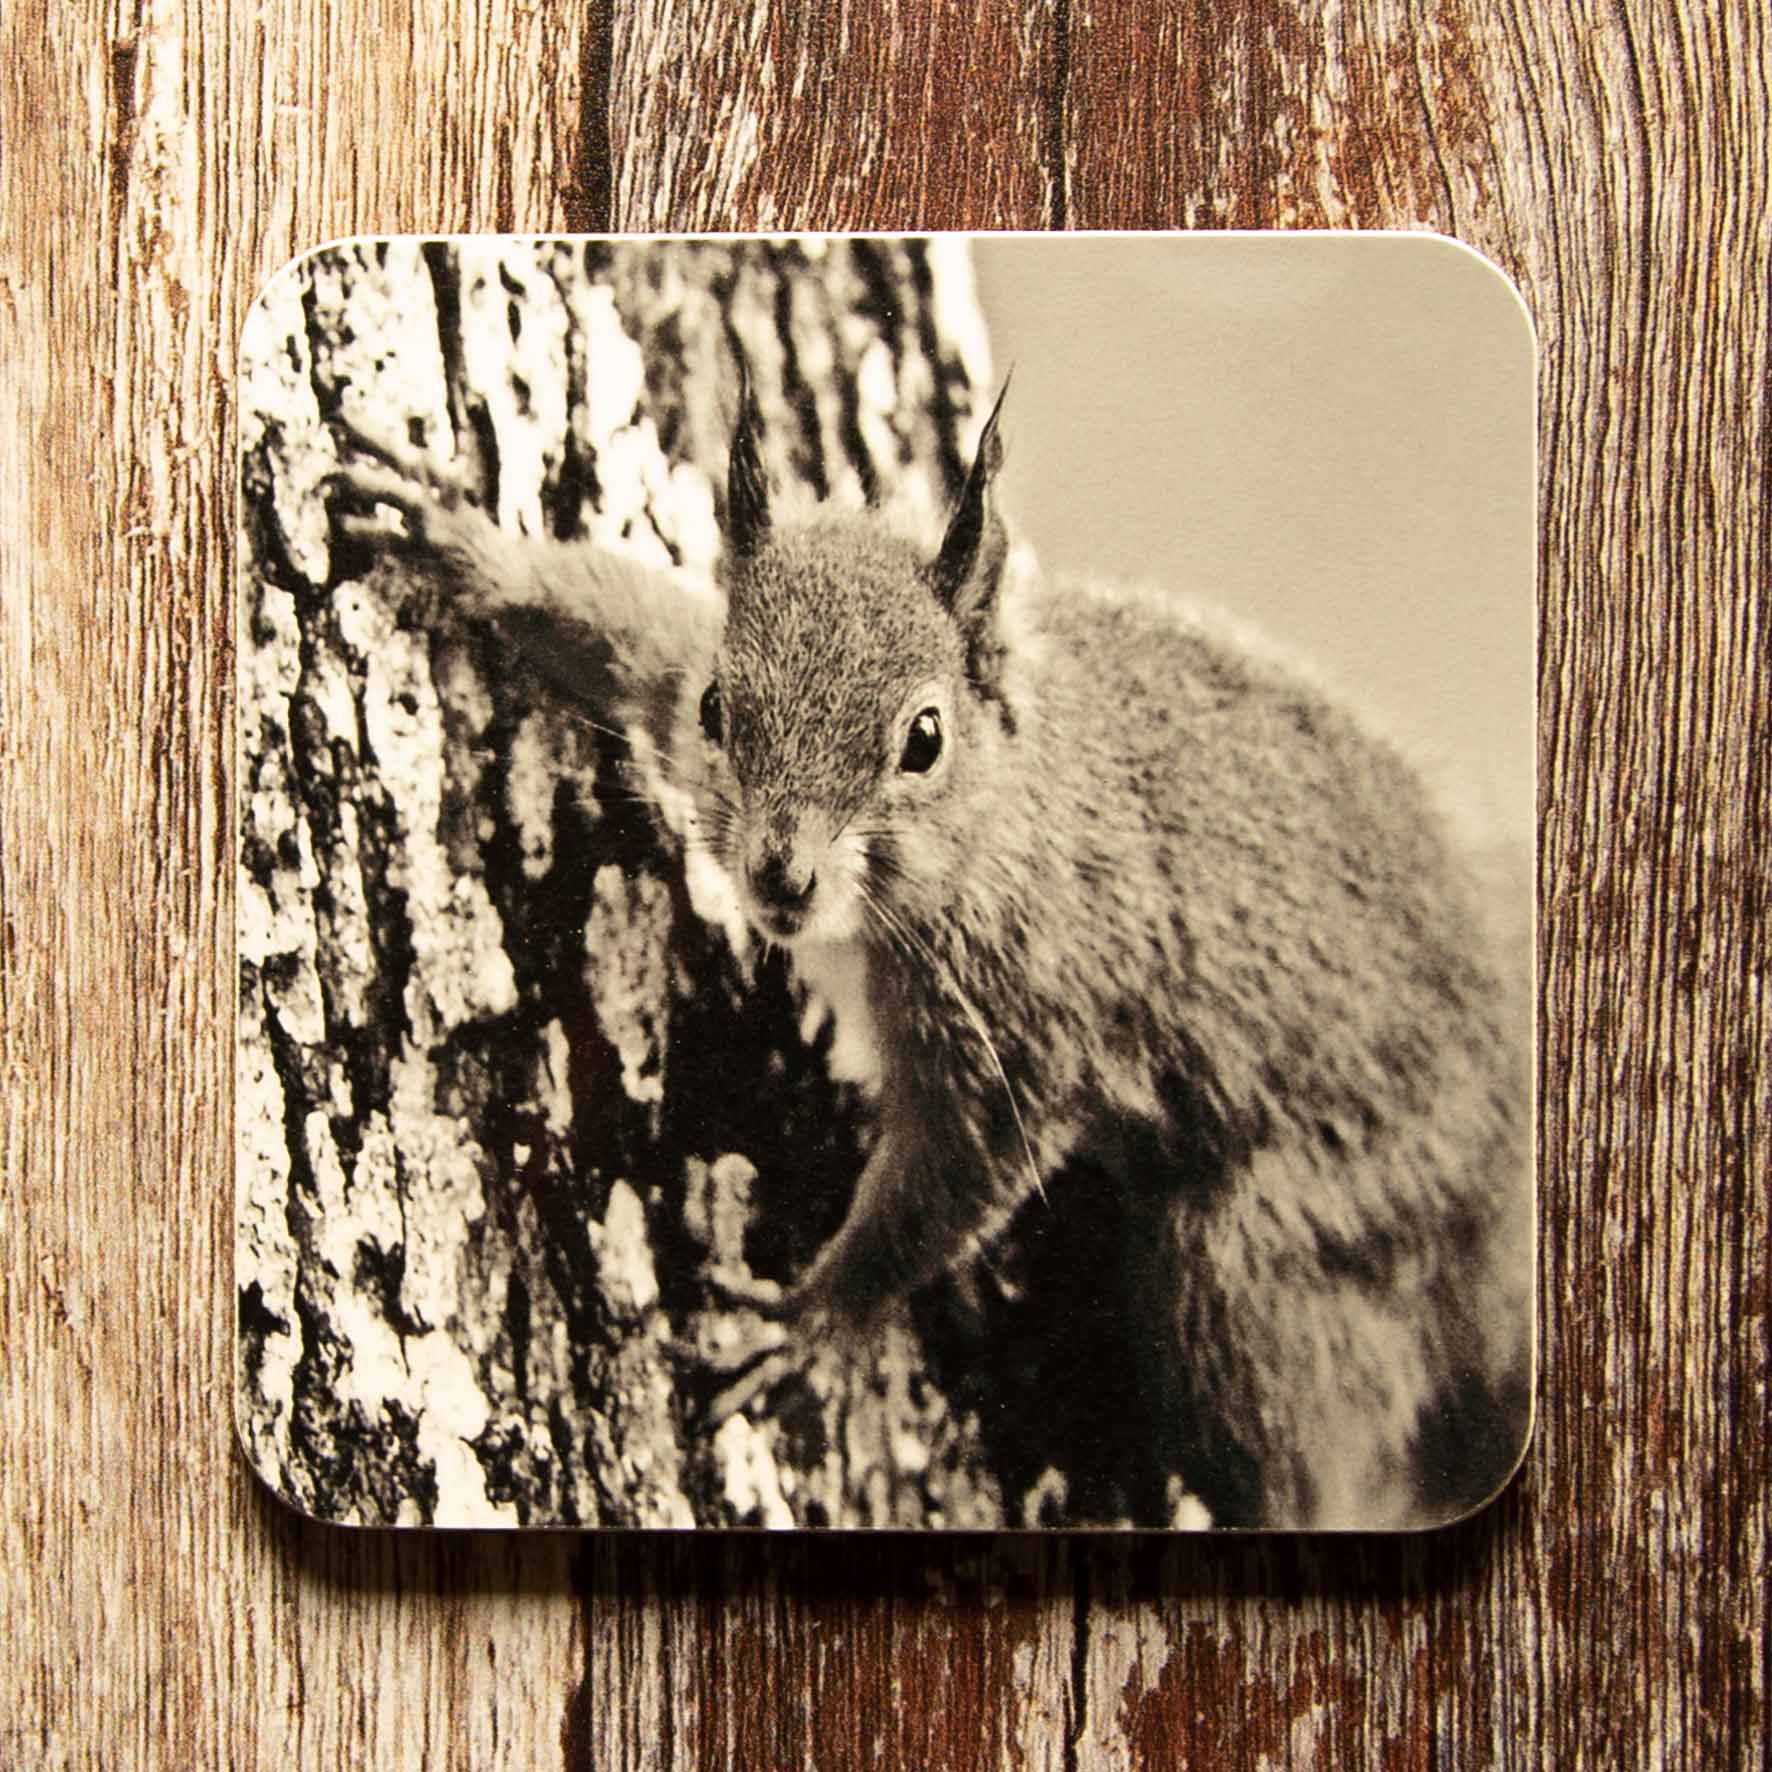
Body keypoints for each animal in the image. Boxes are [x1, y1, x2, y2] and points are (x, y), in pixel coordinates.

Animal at [326, 365, 1532, 1530]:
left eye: (923, 737)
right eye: (720, 706)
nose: (781, 874)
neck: (1005, 809)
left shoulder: (1019, 1022)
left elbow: (945, 1187)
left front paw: (813, 1318)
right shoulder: (668, 684)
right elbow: (628, 626)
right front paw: (463, 540)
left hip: (1285, 1240)